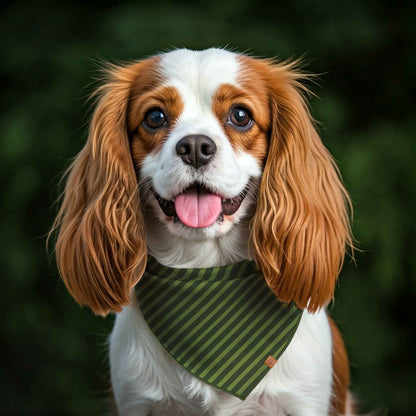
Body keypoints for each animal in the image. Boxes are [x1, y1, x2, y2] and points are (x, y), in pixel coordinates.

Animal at [52, 47, 354, 414]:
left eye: (241, 115)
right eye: (155, 117)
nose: (195, 146)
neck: (204, 267)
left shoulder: (304, 401)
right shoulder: (136, 400)